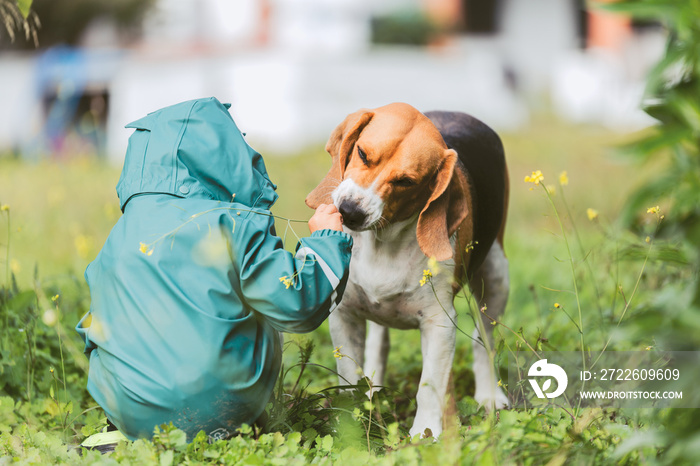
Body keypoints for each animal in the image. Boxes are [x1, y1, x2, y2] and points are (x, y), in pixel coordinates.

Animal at [306, 103, 508, 440]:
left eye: (405, 181)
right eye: (362, 153)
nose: (349, 211)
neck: (382, 243)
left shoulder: (440, 323)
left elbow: (429, 386)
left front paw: (426, 433)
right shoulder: (344, 315)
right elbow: (348, 379)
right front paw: (351, 425)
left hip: (496, 278)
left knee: (484, 342)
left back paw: (489, 395)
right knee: (378, 342)